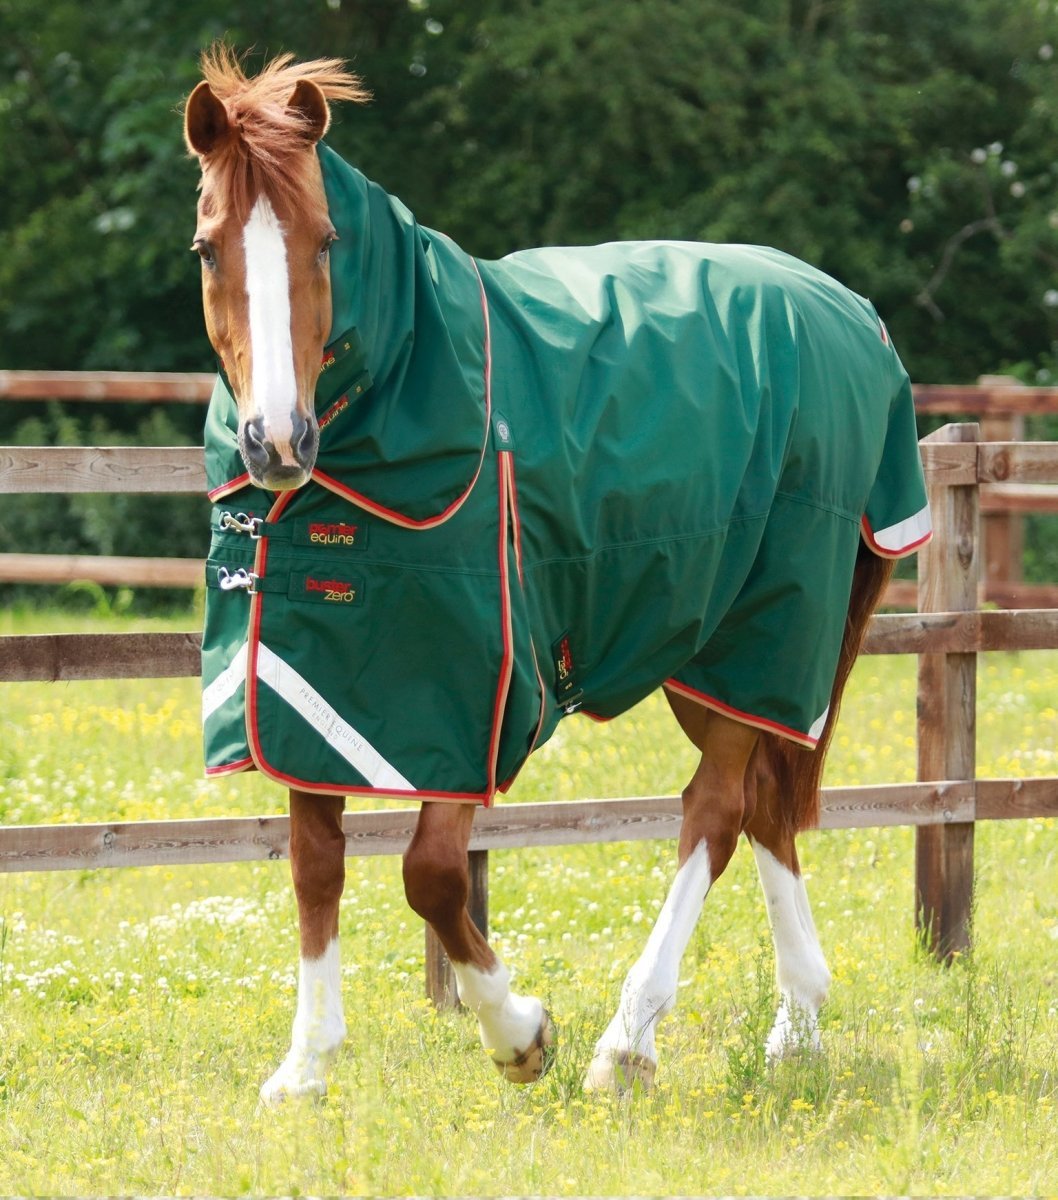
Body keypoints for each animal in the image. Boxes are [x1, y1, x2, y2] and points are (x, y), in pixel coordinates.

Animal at [183, 48, 931, 1104]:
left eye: (327, 242)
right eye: (210, 249)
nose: (277, 440)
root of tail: (850, 313)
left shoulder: (471, 696)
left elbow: (432, 876)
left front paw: (520, 1033)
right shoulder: (309, 686)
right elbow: (315, 863)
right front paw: (306, 1065)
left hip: (772, 625)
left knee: (714, 811)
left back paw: (628, 1044)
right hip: (702, 643)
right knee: (764, 806)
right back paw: (798, 1026)